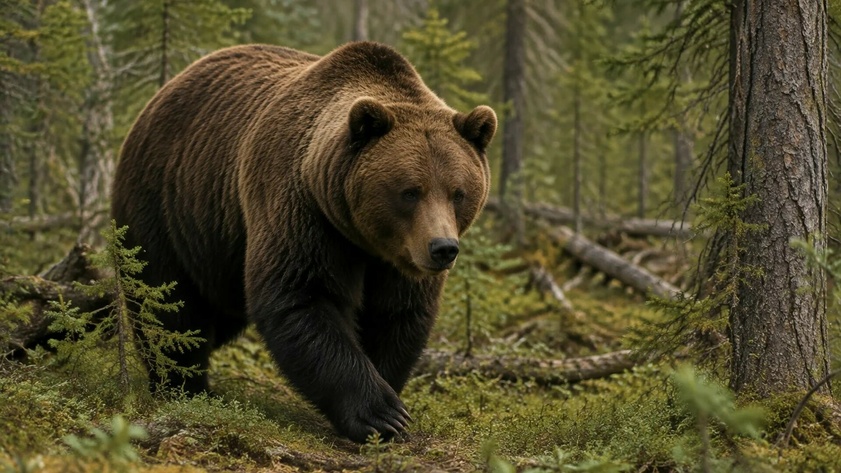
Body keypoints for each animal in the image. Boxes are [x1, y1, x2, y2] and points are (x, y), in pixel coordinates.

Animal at [110, 41, 497, 443]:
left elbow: (396, 315)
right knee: (169, 303)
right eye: (410, 191)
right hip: (167, 206)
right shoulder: (301, 208)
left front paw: (390, 399)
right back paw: (183, 382)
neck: (364, 239)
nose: (443, 248)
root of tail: (161, 93)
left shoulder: (397, 259)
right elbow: (302, 297)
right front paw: (380, 414)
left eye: (458, 193)